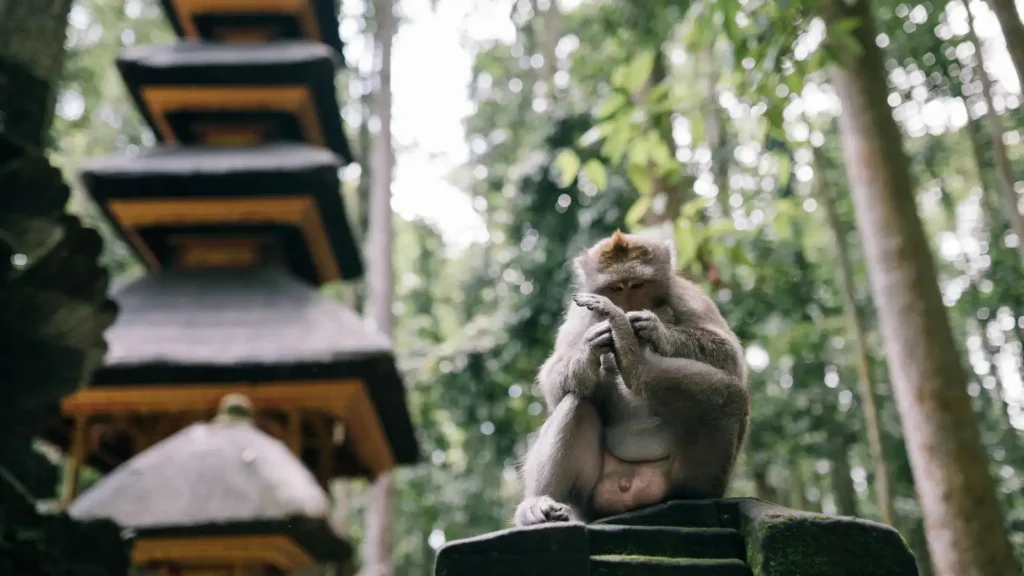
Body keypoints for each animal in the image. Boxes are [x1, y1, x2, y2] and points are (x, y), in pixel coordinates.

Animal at [513, 230, 750, 526]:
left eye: (637, 285)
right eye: (616, 288)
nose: (625, 307)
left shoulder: (686, 294)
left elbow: (729, 356)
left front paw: (654, 328)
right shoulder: (579, 313)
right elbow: (553, 382)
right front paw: (589, 347)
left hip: (685, 480)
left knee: (729, 397)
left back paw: (633, 359)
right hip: (590, 498)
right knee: (577, 402)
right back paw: (539, 504)